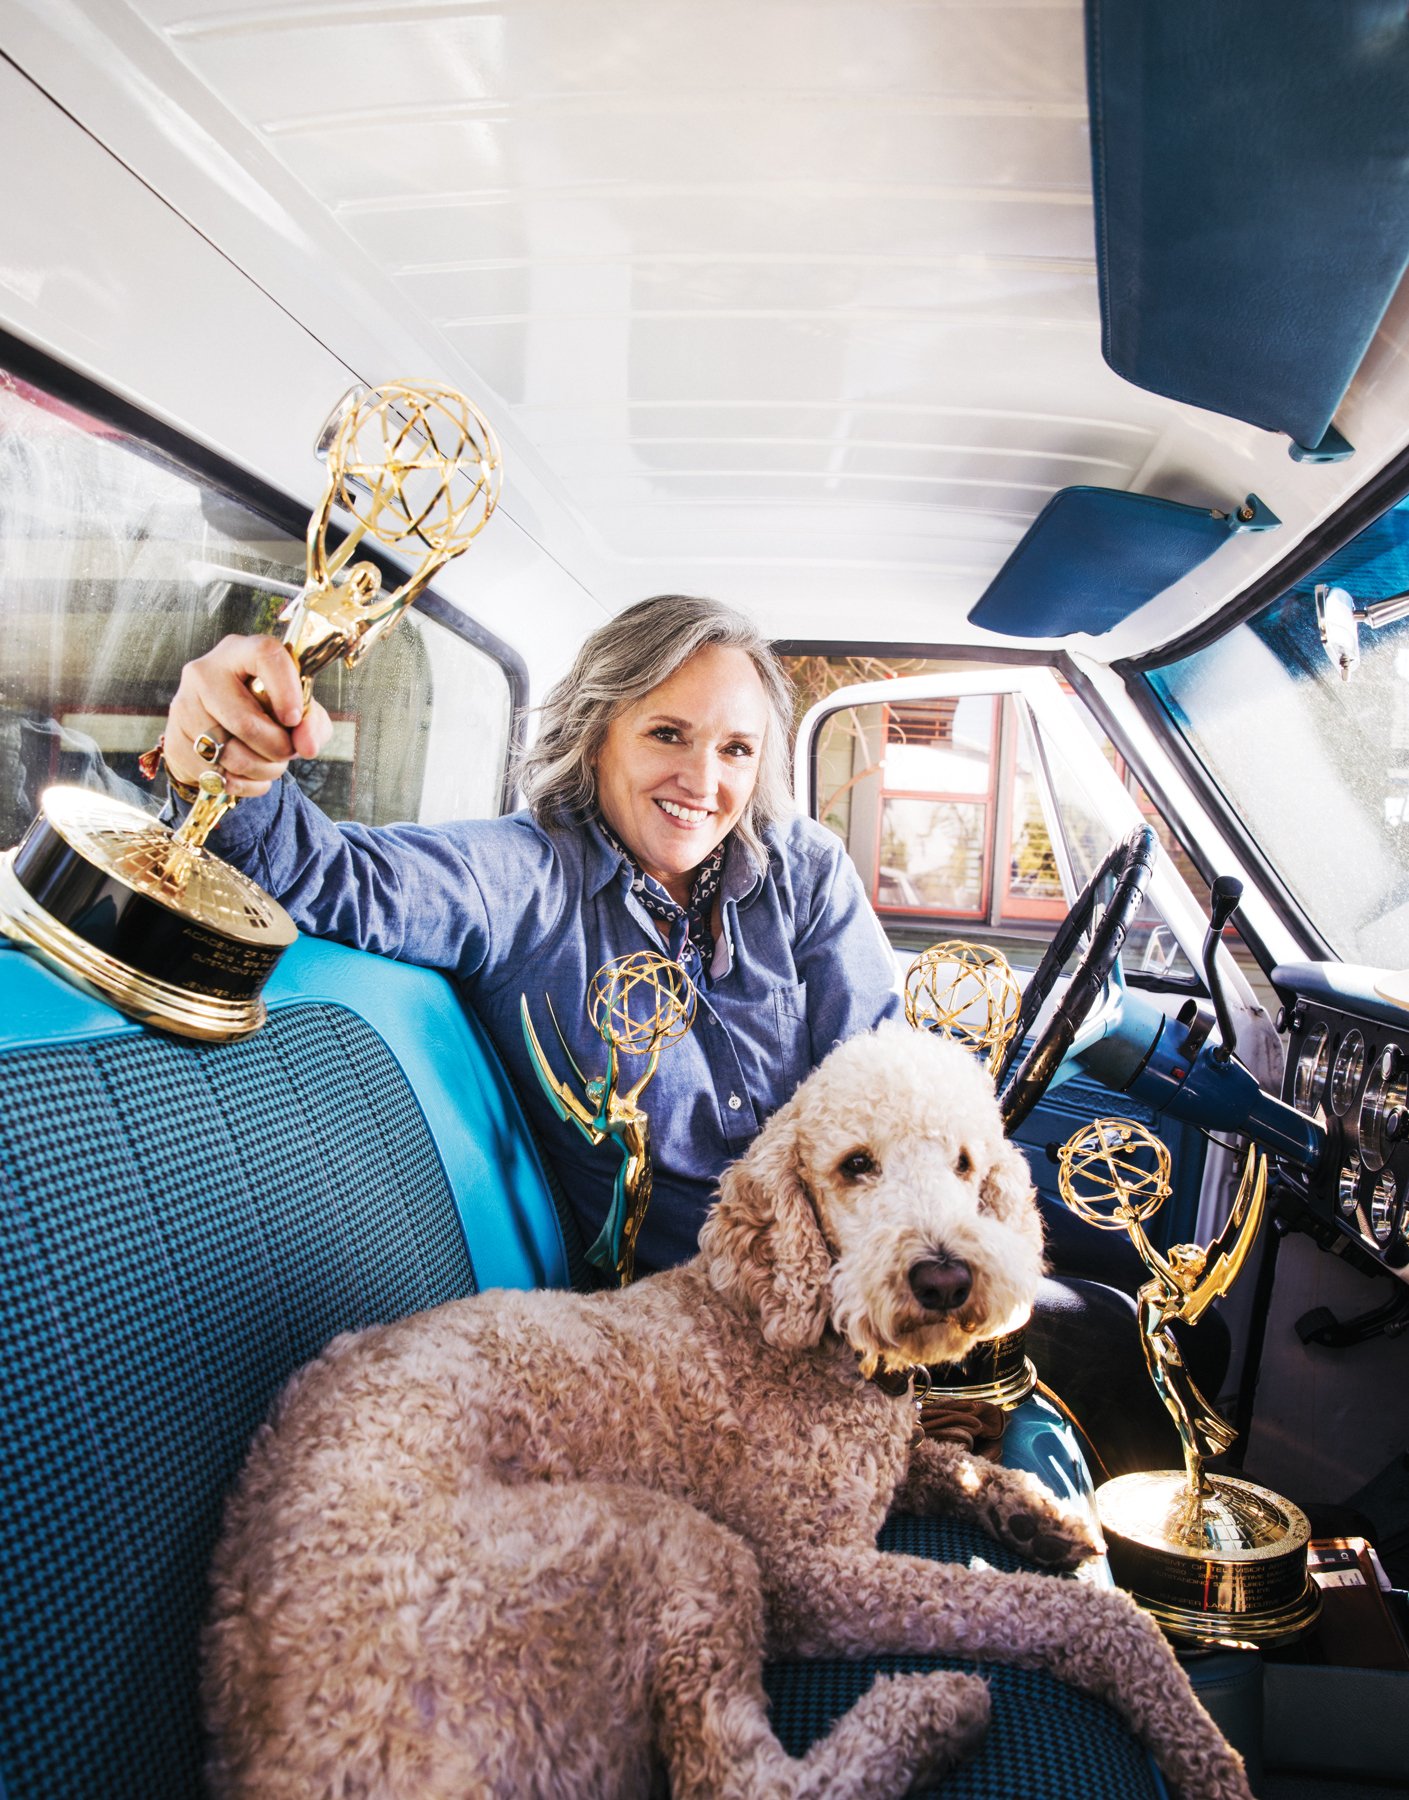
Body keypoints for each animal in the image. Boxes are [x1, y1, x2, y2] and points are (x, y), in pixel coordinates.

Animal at [204, 1029, 1252, 1800]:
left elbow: (944, 1461)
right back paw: (930, 1716)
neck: (793, 1334)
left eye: (965, 1164)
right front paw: (1190, 1732)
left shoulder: (884, 1461)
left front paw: (1039, 1514)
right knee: (745, 1783)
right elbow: (1056, 1612)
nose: (944, 1276)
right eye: (856, 1166)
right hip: (676, 1546)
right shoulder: (810, 1574)